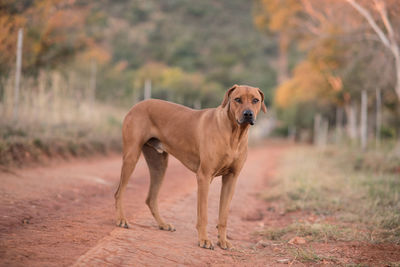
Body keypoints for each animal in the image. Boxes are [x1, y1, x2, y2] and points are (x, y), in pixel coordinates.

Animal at [114, 85, 268, 250]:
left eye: (255, 100)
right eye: (237, 99)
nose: (248, 114)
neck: (234, 134)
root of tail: (137, 104)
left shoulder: (231, 179)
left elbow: (224, 215)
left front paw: (223, 241)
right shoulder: (204, 176)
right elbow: (203, 215)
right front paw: (204, 240)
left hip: (159, 164)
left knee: (151, 198)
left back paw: (163, 224)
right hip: (131, 156)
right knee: (119, 192)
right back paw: (121, 219)